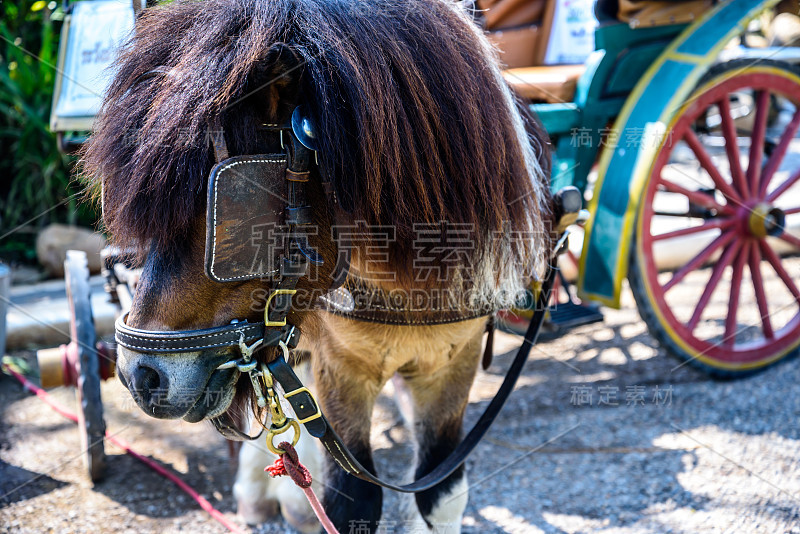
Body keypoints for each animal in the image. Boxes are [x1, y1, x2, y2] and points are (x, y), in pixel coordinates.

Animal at [84, 0, 552, 532]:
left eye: (228, 201)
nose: (139, 376)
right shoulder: (341, 367)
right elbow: (352, 498)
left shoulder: (454, 363)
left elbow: (441, 494)